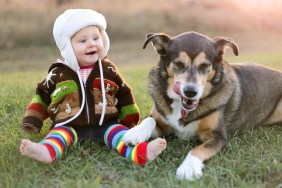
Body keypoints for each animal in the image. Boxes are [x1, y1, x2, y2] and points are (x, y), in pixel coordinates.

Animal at [122, 31, 282, 181]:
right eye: (179, 64)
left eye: (204, 65)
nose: (190, 92)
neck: (183, 108)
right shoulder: (165, 127)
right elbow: (151, 119)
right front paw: (135, 132)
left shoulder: (218, 136)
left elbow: (199, 149)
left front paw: (188, 168)